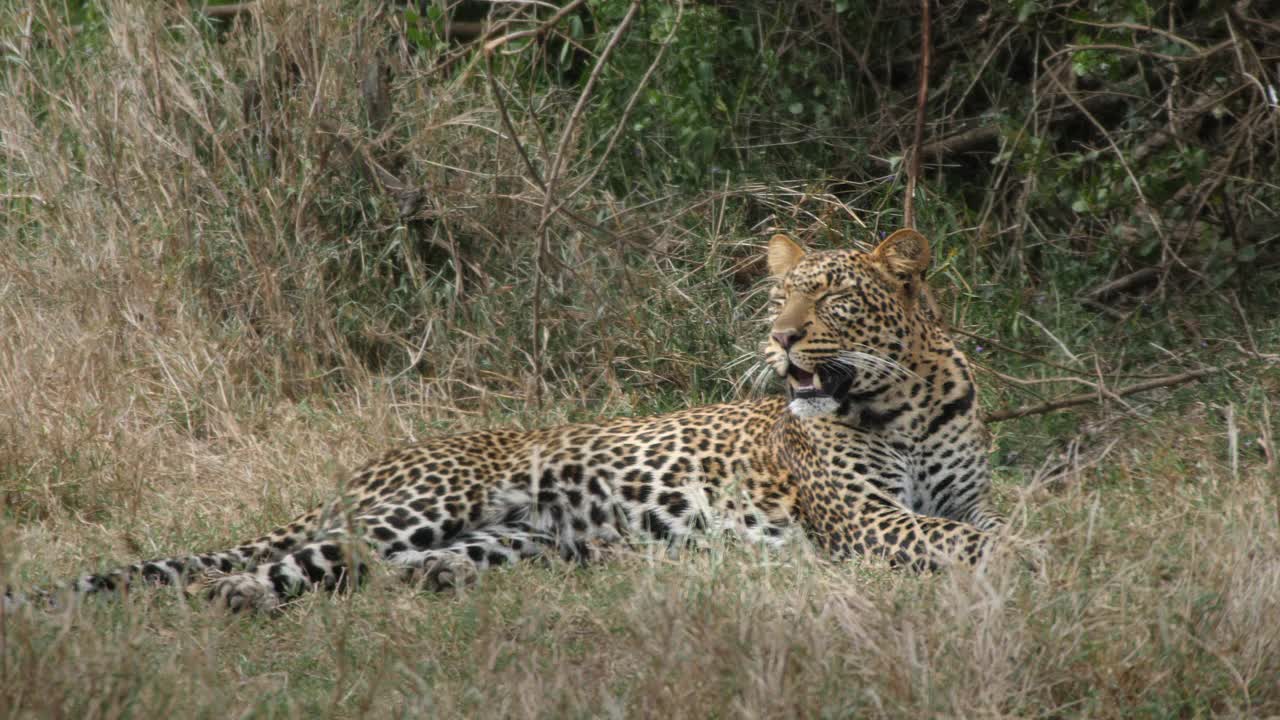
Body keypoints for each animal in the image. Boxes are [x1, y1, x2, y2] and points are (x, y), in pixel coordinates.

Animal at [2, 228, 998, 609]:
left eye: (830, 299)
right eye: (780, 296)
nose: (781, 338)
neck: (905, 405)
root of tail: (360, 471)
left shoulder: (961, 497)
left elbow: (978, 527)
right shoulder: (862, 516)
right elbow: (961, 542)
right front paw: (1026, 560)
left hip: (514, 540)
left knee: (385, 571)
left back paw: (431, 581)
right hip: (422, 505)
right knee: (294, 564)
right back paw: (236, 595)